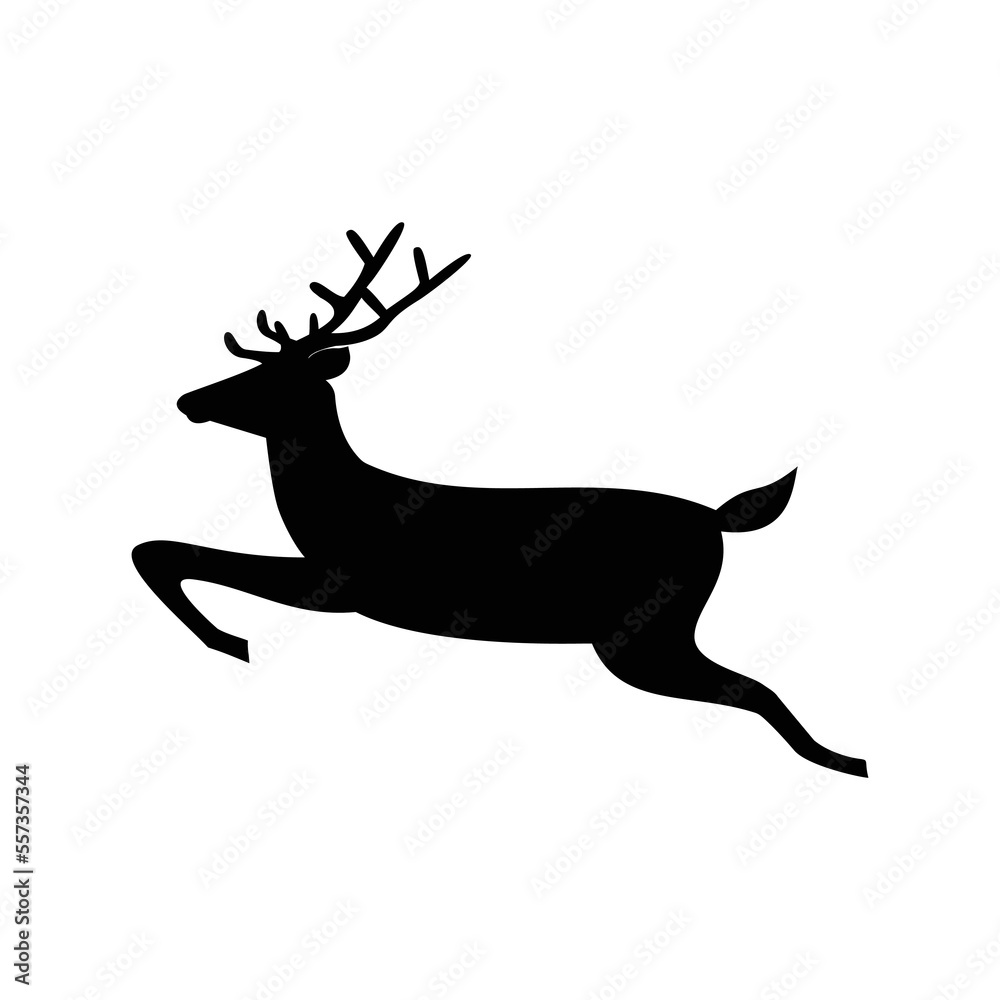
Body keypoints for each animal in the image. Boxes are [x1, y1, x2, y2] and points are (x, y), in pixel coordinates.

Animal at [132, 223, 867, 777]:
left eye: (272, 378)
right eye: (247, 368)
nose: (189, 400)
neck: (334, 506)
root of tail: (717, 521)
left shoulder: (345, 581)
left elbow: (162, 550)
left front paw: (229, 639)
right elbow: (158, 549)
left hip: (643, 632)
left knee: (757, 688)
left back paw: (844, 762)